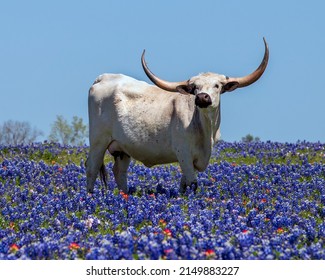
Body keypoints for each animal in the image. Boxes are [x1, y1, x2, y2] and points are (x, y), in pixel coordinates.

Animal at [85, 38, 268, 194]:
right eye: (194, 87)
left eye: (217, 86)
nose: (202, 97)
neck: (205, 128)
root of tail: (103, 78)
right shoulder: (184, 154)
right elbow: (192, 183)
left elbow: (184, 184)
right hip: (98, 140)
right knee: (92, 168)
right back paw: (90, 196)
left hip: (122, 148)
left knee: (119, 172)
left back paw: (124, 195)